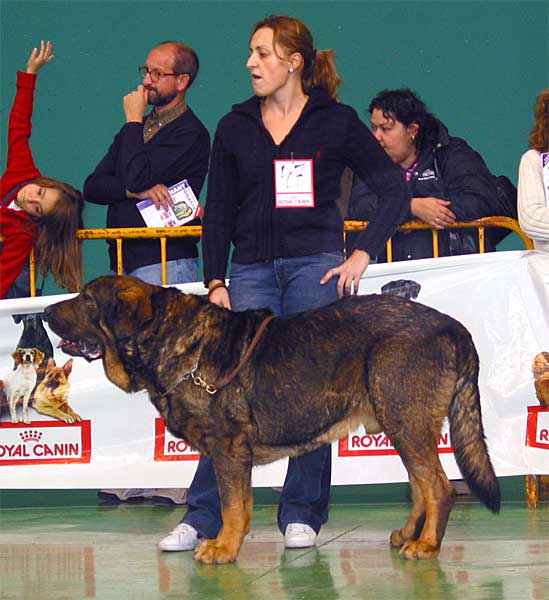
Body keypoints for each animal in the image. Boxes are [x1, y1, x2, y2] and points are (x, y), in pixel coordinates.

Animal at [45, 274, 498, 564]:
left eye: (87, 299)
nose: (47, 309)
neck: (173, 342)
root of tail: (454, 328)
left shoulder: (227, 449)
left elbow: (231, 506)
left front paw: (223, 549)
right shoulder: (228, 455)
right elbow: (239, 504)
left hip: (406, 421)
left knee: (439, 487)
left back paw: (426, 545)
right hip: (402, 425)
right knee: (421, 486)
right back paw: (409, 534)